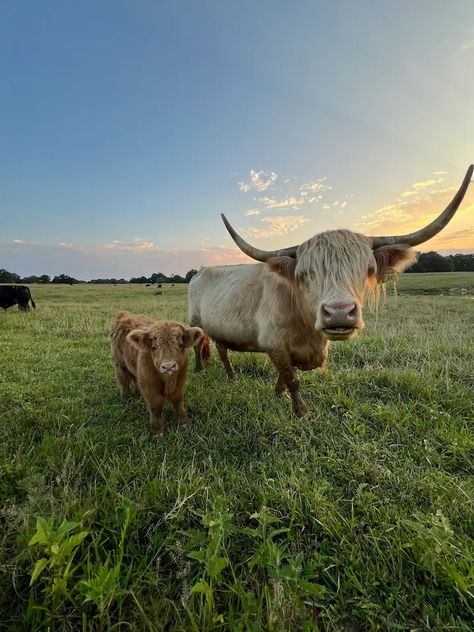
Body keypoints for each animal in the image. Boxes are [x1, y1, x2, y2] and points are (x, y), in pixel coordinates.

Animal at [187, 165, 472, 418]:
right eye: (305, 274)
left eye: (366, 269)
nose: (338, 313)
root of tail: (201, 271)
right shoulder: (274, 344)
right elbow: (292, 378)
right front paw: (301, 413)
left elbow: (284, 375)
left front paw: (279, 393)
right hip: (195, 320)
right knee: (199, 342)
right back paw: (200, 370)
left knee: (221, 348)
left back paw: (231, 376)